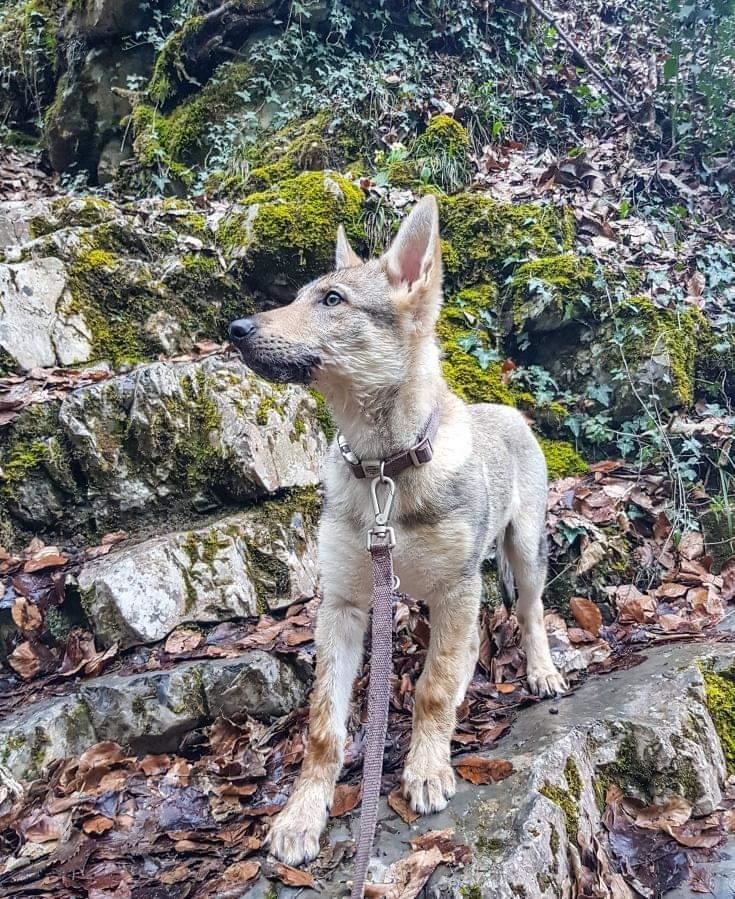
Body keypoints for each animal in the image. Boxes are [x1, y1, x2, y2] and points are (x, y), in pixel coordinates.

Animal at [230, 195, 568, 864]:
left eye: (332, 300)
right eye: (299, 295)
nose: (236, 329)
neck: (384, 467)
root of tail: (509, 409)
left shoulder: (456, 588)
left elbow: (433, 688)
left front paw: (427, 768)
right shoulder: (343, 605)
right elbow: (324, 727)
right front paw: (302, 814)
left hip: (522, 551)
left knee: (531, 613)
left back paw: (540, 670)